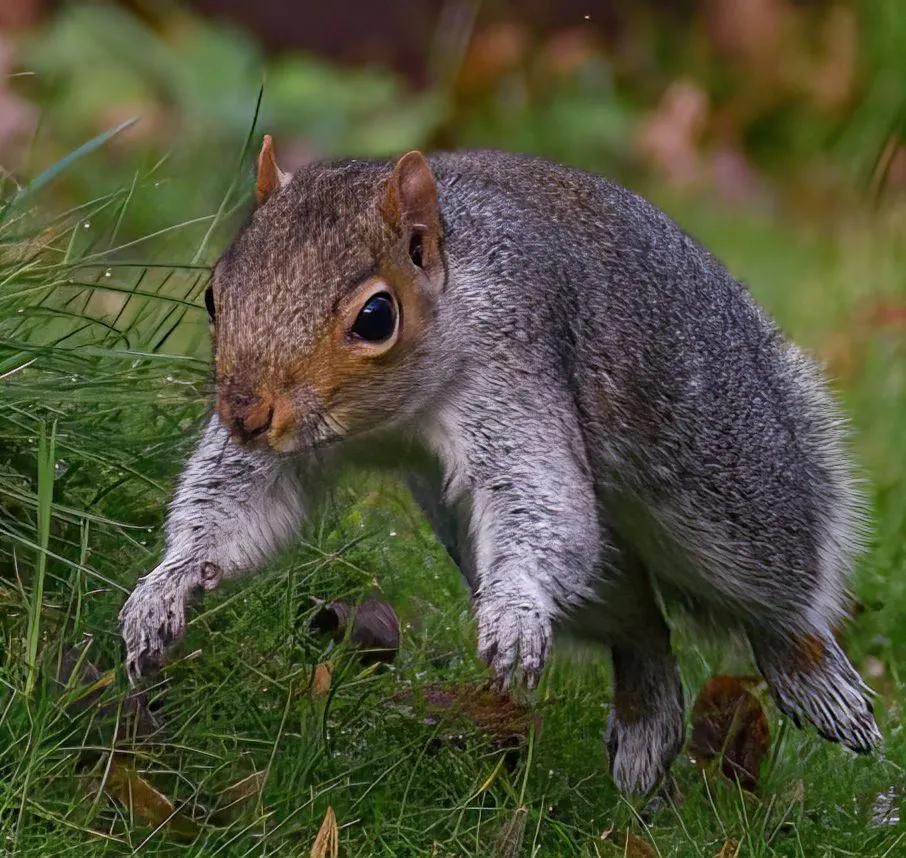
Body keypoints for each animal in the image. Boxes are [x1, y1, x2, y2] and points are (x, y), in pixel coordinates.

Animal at [119, 136, 881, 795]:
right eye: (213, 295)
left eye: (375, 316)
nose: (246, 415)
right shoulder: (280, 455)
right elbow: (235, 503)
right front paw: (165, 588)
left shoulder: (511, 369)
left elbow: (538, 500)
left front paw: (513, 611)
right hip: (525, 547)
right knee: (640, 630)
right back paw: (645, 729)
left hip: (725, 487)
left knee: (777, 588)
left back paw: (815, 675)